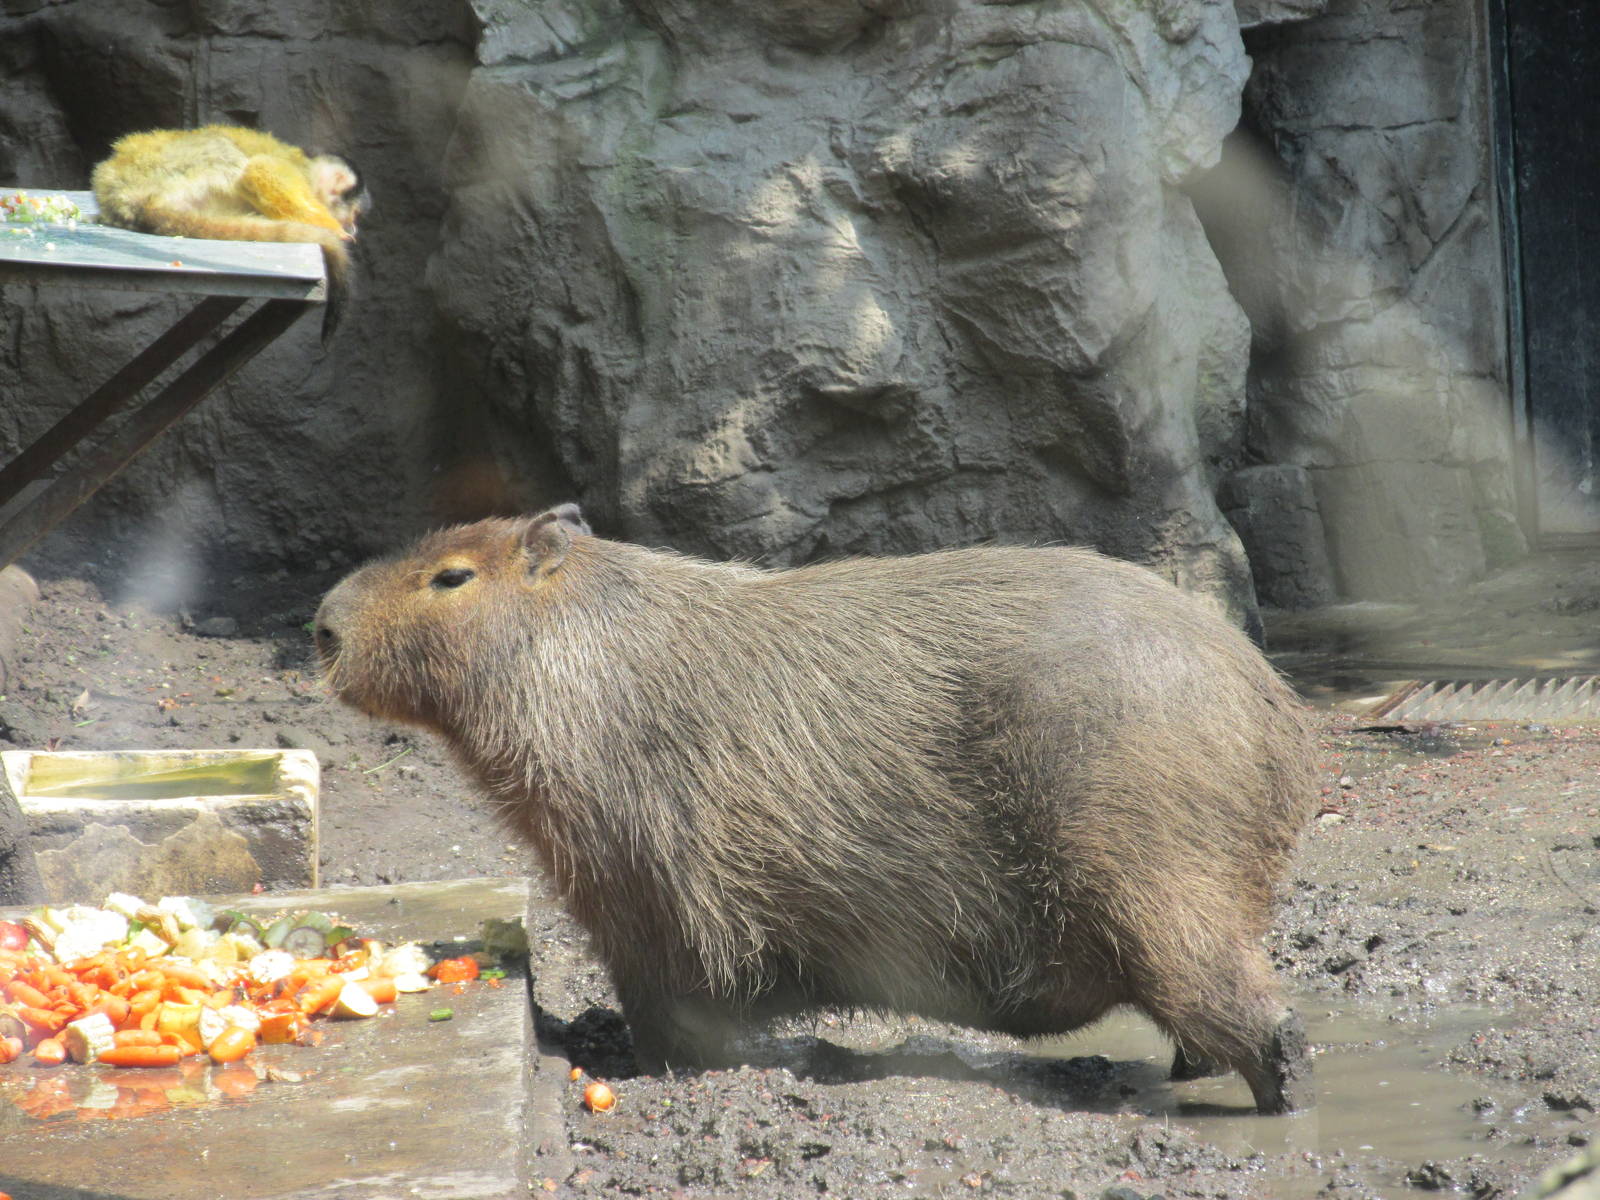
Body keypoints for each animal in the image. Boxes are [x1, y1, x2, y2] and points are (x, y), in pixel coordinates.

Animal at [91, 125, 369, 340]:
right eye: (354, 216)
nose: (352, 226)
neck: (308, 171)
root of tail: (126, 198)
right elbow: (261, 170)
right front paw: (333, 229)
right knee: (223, 148)